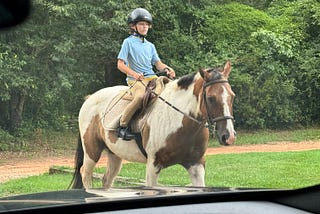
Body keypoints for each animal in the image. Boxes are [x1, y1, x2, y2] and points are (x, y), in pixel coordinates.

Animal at [70, 60, 235, 189]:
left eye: (232, 96)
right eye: (211, 98)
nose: (229, 136)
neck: (180, 121)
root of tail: (90, 98)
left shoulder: (196, 165)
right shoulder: (153, 165)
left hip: (114, 155)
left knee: (107, 180)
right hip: (92, 152)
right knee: (85, 175)